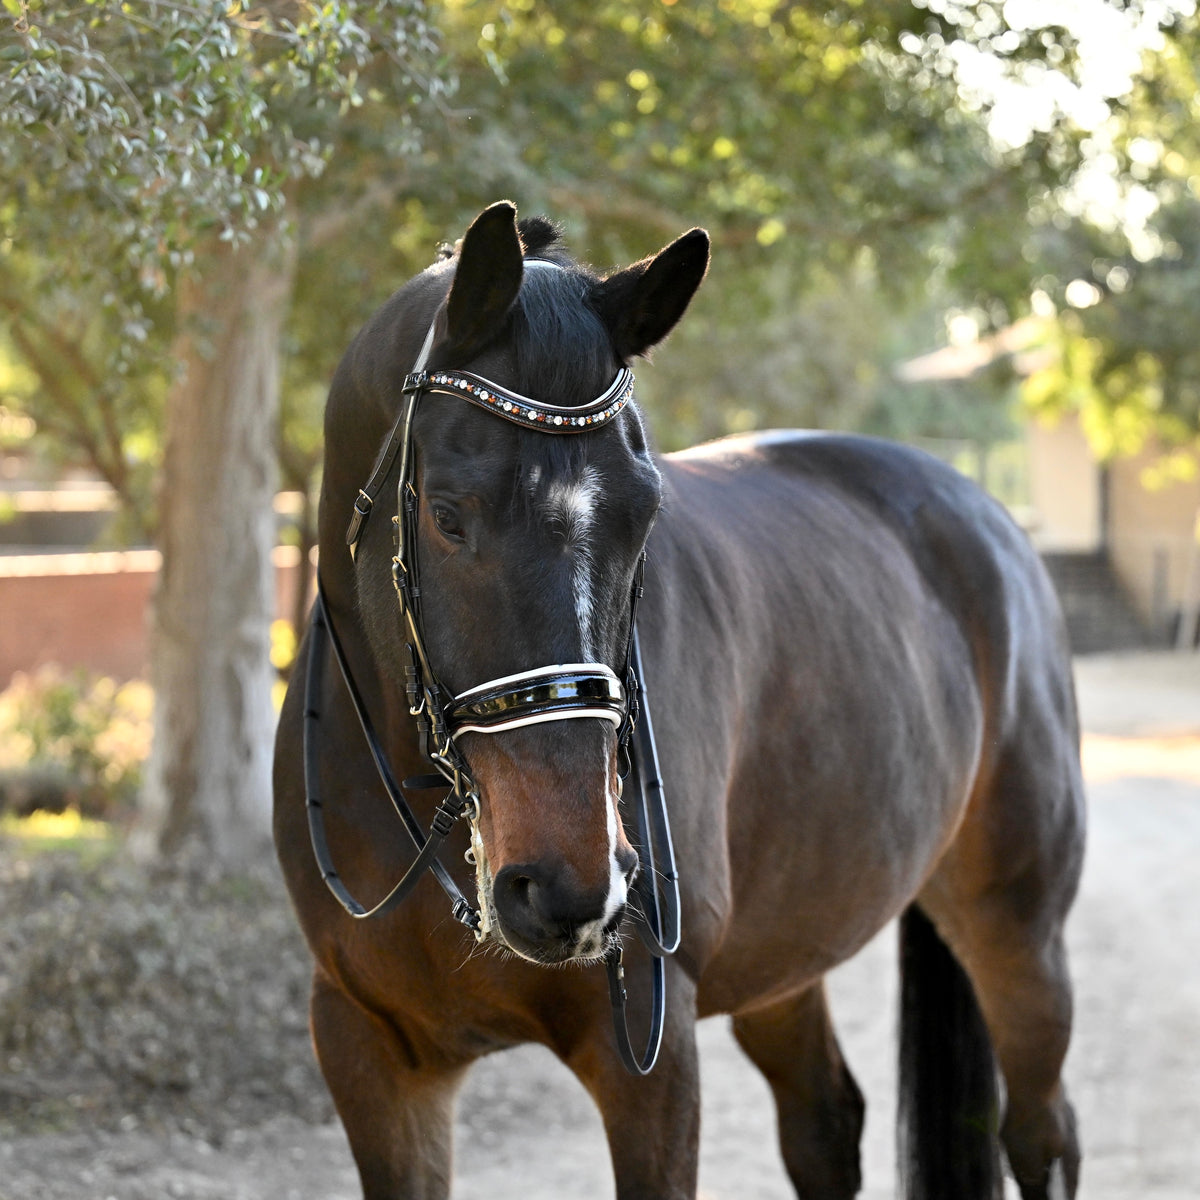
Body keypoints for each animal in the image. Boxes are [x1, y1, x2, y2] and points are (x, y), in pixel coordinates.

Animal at [274, 201, 1089, 1195]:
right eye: (447, 514)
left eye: (645, 517)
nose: (570, 885)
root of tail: (986, 517)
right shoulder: (371, 1053)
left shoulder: (648, 1065)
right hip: (789, 954)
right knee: (825, 1125)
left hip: (1020, 933)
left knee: (1041, 1133)